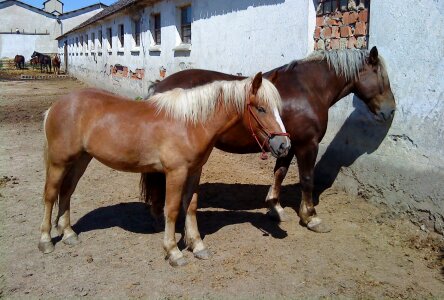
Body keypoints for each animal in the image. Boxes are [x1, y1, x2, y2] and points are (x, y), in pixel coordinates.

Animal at [39, 74, 292, 266]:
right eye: (261, 109)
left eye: (277, 109)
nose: (284, 145)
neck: (190, 123)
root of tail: (56, 106)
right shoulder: (175, 172)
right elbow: (171, 210)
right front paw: (173, 252)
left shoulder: (194, 172)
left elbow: (190, 206)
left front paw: (197, 245)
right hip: (59, 162)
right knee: (50, 196)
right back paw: (45, 241)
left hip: (81, 159)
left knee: (67, 192)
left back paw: (69, 234)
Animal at [147, 47, 398, 233]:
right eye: (381, 76)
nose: (390, 111)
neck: (308, 89)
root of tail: (159, 86)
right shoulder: (307, 144)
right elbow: (307, 178)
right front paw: (311, 217)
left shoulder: (286, 144)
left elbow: (279, 173)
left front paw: (274, 208)